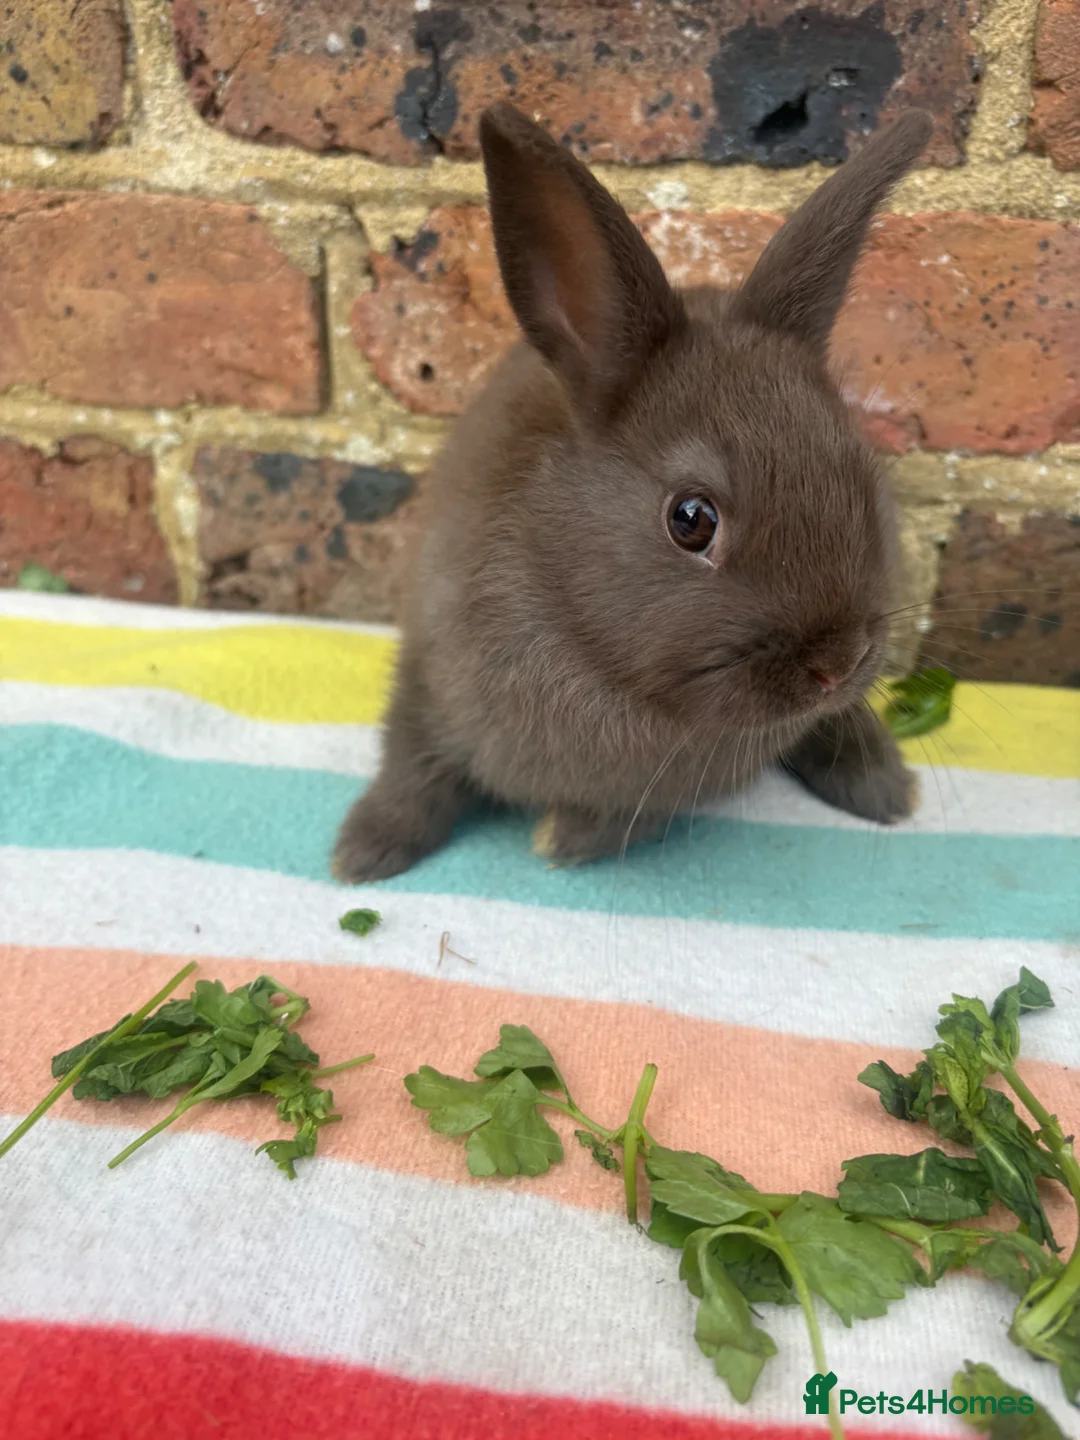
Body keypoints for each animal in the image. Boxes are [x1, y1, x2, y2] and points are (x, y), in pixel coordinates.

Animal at [333, 101, 931, 884]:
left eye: (862, 474)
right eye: (691, 520)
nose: (836, 666)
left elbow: (629, 821)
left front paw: (561, 838)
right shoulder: (426, 681)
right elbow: (412, 768)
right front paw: (362, 853)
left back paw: (885, 790)